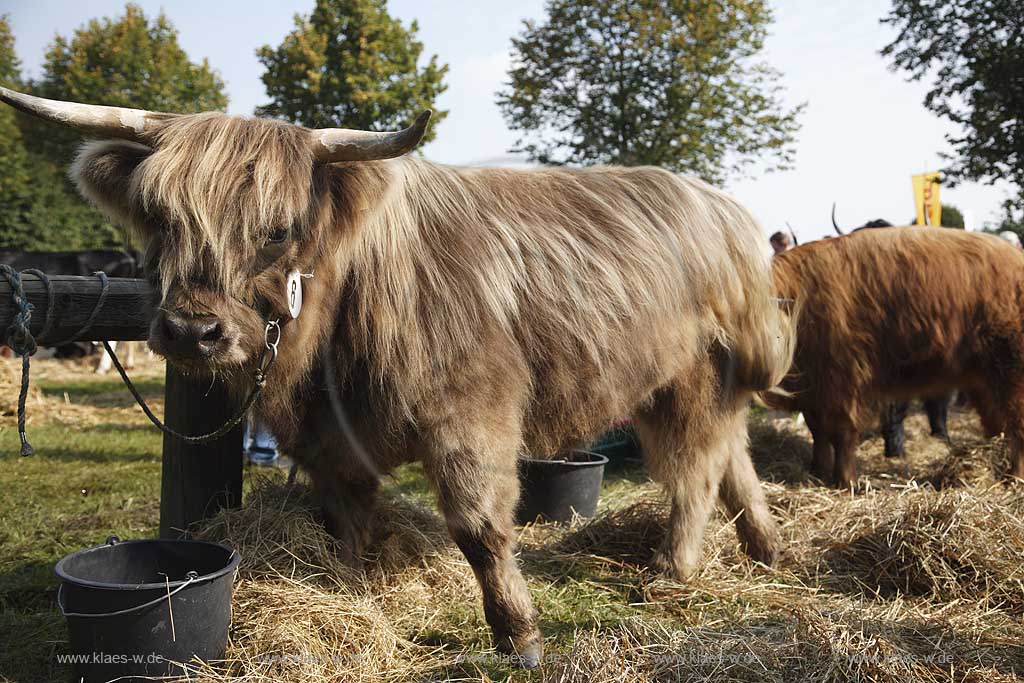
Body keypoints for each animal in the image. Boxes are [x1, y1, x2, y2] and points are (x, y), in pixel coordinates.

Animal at [2, 85, 790, 667]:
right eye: (161, 219)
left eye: (279, 230)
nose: (194, 331)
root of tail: (724, 208)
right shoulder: (327, 438)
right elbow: (349, 521)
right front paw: (354, 593)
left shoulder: (471, 414)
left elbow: (479, 529)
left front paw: (519, 636)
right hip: (699, 386)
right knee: (732, 454)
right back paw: (765, 545)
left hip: (691, 379)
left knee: (694, 469)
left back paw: (673, 569)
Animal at [770, 227, 1024, 489]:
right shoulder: (812, 390)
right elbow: (817, 432)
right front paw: (816, 473)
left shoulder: (842, 379)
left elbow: (842, 433)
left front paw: (844, 482)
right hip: (981, 378)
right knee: (996, 421)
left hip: (1012, 367)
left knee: (1017, 421)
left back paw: (1015, 477)